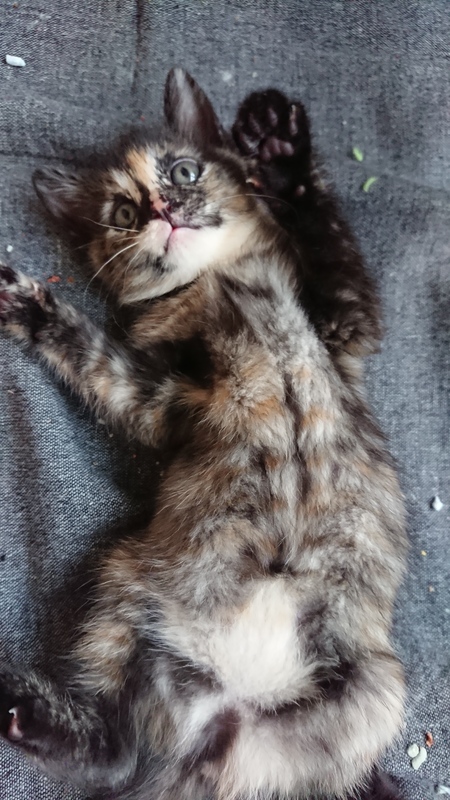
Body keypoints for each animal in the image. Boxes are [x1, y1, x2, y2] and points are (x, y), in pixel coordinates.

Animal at [0, 69, 407, 800]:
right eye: (122, 213)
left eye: (184, 170)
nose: (163, 209)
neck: (222, 285)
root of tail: (223, 726)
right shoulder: (159, 396)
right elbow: (93, 356)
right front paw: (31, 307)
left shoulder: (345, 325)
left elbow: (329, 237)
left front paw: (277, 147)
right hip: (128, 593)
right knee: (114, 752)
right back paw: (25, 709)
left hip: (375, 684)